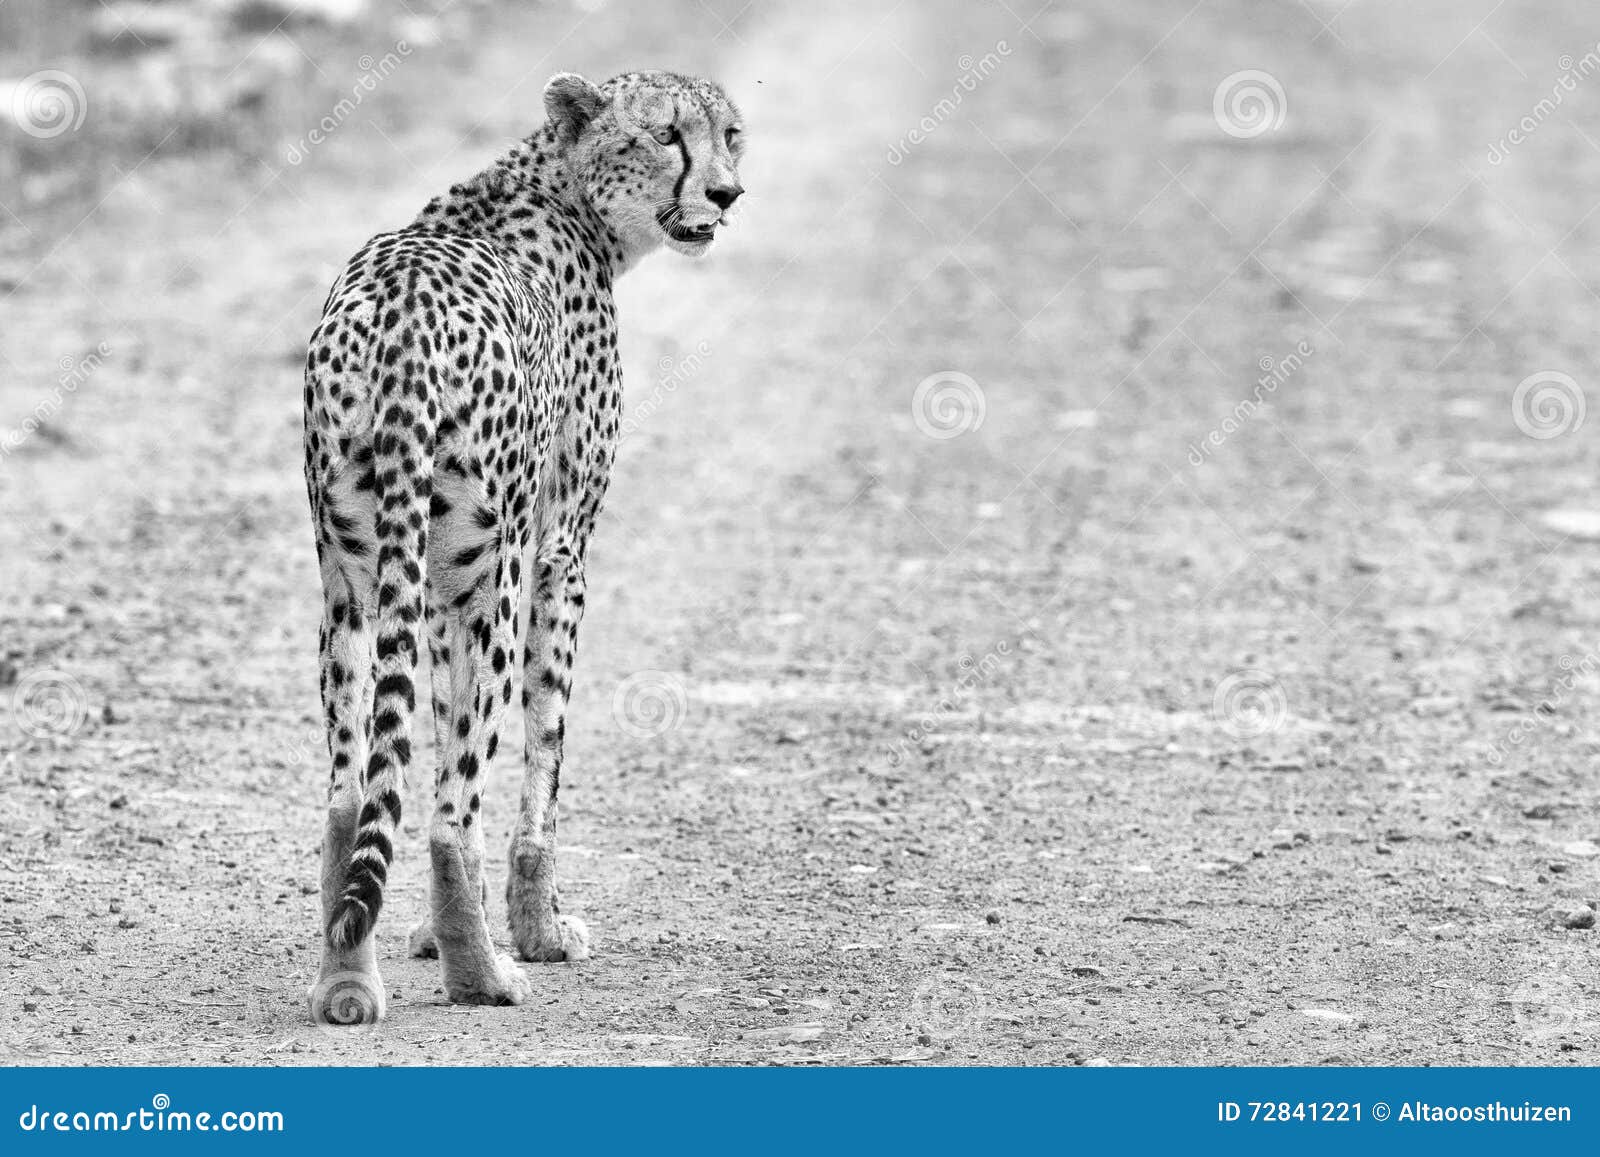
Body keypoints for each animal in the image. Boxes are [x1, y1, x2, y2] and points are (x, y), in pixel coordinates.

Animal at [300, 70, 742, 1024]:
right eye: (668, 135)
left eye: (730, 133)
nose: (727, 192)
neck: (561, 188)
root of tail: (405, 310)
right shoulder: (558, 547)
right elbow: (546, 744)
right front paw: (537, 927)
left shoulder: (427, 584)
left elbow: (422, 729)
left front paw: (431, 930)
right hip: (491, 579)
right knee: (448, 810)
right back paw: (487, 977)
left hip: (351, 579)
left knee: (351, 795)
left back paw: (348, 978)